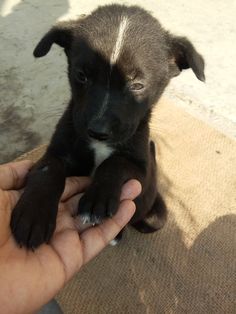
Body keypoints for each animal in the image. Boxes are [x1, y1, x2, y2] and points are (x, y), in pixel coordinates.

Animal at [10, 3, 205, 248]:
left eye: (137, 85)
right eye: (81, 75)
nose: (98, 131)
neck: (99, 146)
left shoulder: (142, 172)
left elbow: (115, 163)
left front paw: (97, 200)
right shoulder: (58, 151)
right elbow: (47, 170)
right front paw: (33, 215)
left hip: (155, 215)